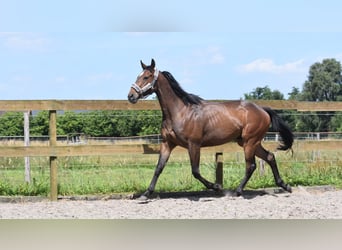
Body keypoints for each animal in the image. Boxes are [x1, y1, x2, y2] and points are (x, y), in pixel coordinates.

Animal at [127, 58, 292, 199]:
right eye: (138, 76)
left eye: (147, 77)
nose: (131, 96)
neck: (180, 112)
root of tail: (263, 110)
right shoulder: (168, 143)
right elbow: (158, 168)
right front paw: (146, 194)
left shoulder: (194, 144)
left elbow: (195, 171)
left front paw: (217, 187)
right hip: (249, 142)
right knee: (269, 157)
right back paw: (285, 186)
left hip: (250, 142)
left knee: (251, 165)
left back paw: (237, 191)